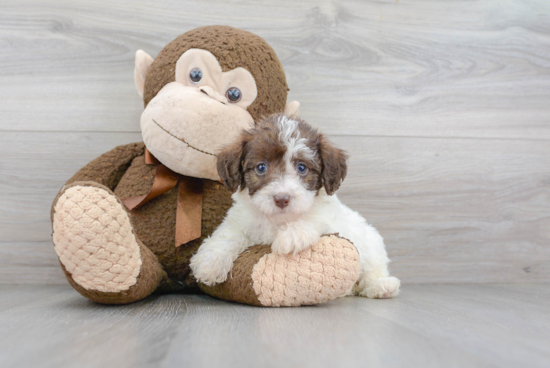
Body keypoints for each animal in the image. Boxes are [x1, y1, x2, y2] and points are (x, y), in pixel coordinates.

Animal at [192, 114, 404, 300]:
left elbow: (315, 217)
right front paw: (210, 262)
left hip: (372, 246)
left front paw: (292, 235)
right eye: (261, 167)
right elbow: (229, 233)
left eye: (302, 168)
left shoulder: (331, 219)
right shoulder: (240, 219)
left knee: (371, 273)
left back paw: (382, 286)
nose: (282, 199)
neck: (279, 219)